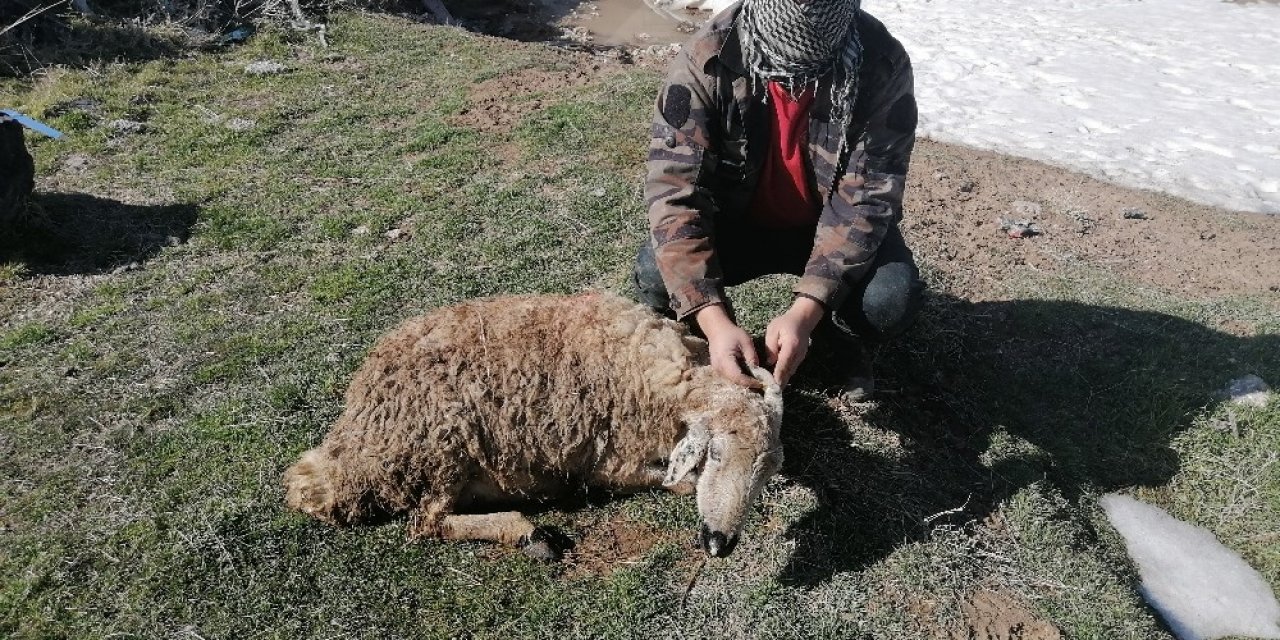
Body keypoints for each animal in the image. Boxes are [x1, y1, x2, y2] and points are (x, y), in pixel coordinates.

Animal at [282, 293, 778, 558]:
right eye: (715, 453)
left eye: (765, 474)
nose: (720, 543)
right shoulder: (608, 465)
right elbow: (677, 483)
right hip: (443, 445)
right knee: (427, 522)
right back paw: (527, 533)